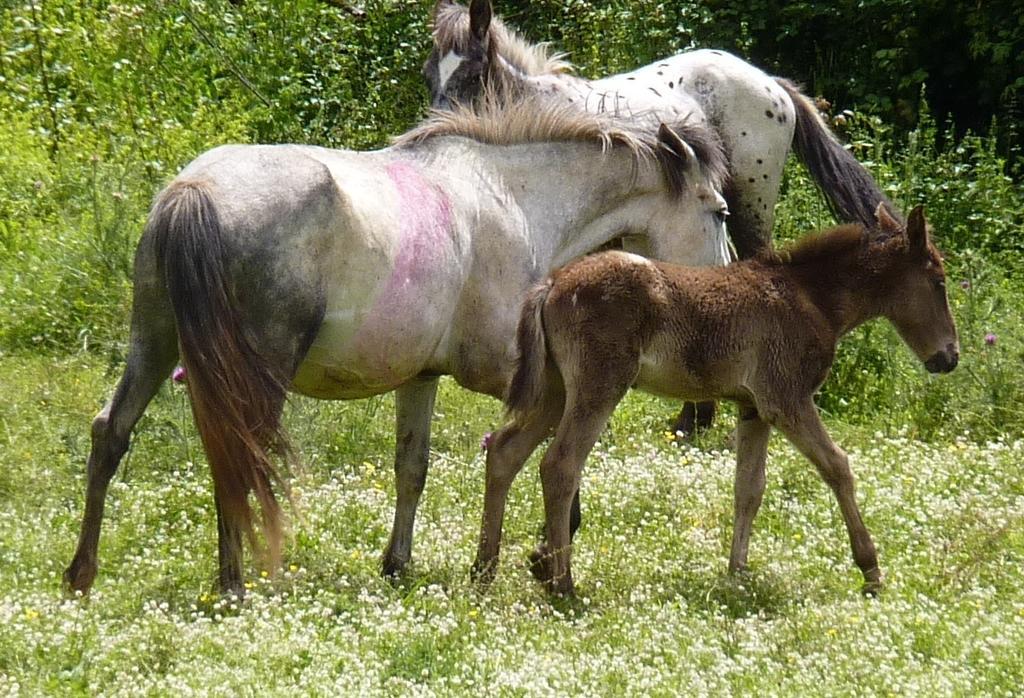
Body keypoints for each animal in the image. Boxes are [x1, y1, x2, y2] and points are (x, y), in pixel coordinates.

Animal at [64, 93, 733, 593]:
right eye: (720, 211)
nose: (724, 281)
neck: (512, 196)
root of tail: (193, 189)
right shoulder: (515, 373)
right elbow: (549, 453)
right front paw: (554, 544)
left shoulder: (421, 378)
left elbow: (413, 468)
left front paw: (397, 563)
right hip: (255, 373)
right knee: (237, 452)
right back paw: (236, 581)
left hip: (154, 346)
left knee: (112, 433)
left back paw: (82, 573)